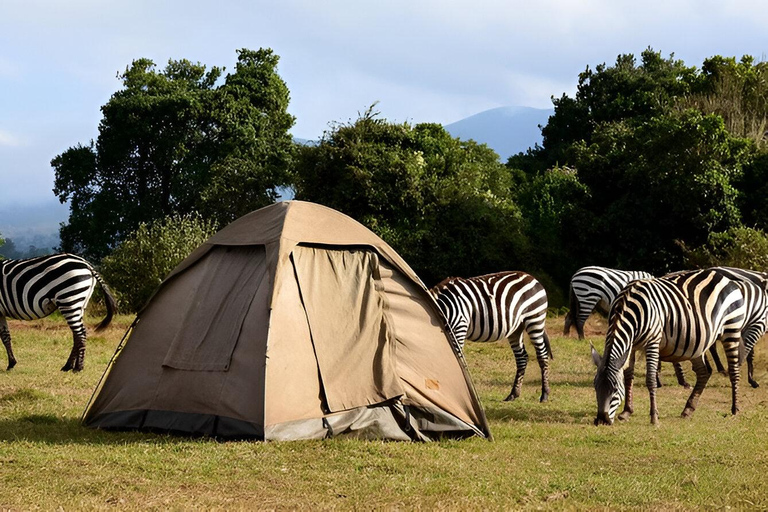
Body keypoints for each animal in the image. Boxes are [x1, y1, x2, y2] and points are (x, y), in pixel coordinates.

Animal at [432, 272, 552, 404]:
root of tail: (531, 277)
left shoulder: (459, 326)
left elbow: (457, 361)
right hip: (516, 328)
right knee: (522, 357)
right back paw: (513, 394)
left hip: (534, 319)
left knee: (542, 355)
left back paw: (544, 395)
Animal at [592, 268, 748, 424]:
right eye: (595, 387)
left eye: (615, 390)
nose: (601, 420)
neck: (628, 307)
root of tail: (724, 277)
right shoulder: (631, 345)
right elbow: (628, 376)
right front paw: (626, 412)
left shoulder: (653, 342)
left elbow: (650, 379)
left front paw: (654, 417)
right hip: (696, 343)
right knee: (704, 372)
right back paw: (688, 409)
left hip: (732, 329)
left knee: (734, 371)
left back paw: (735, 409)